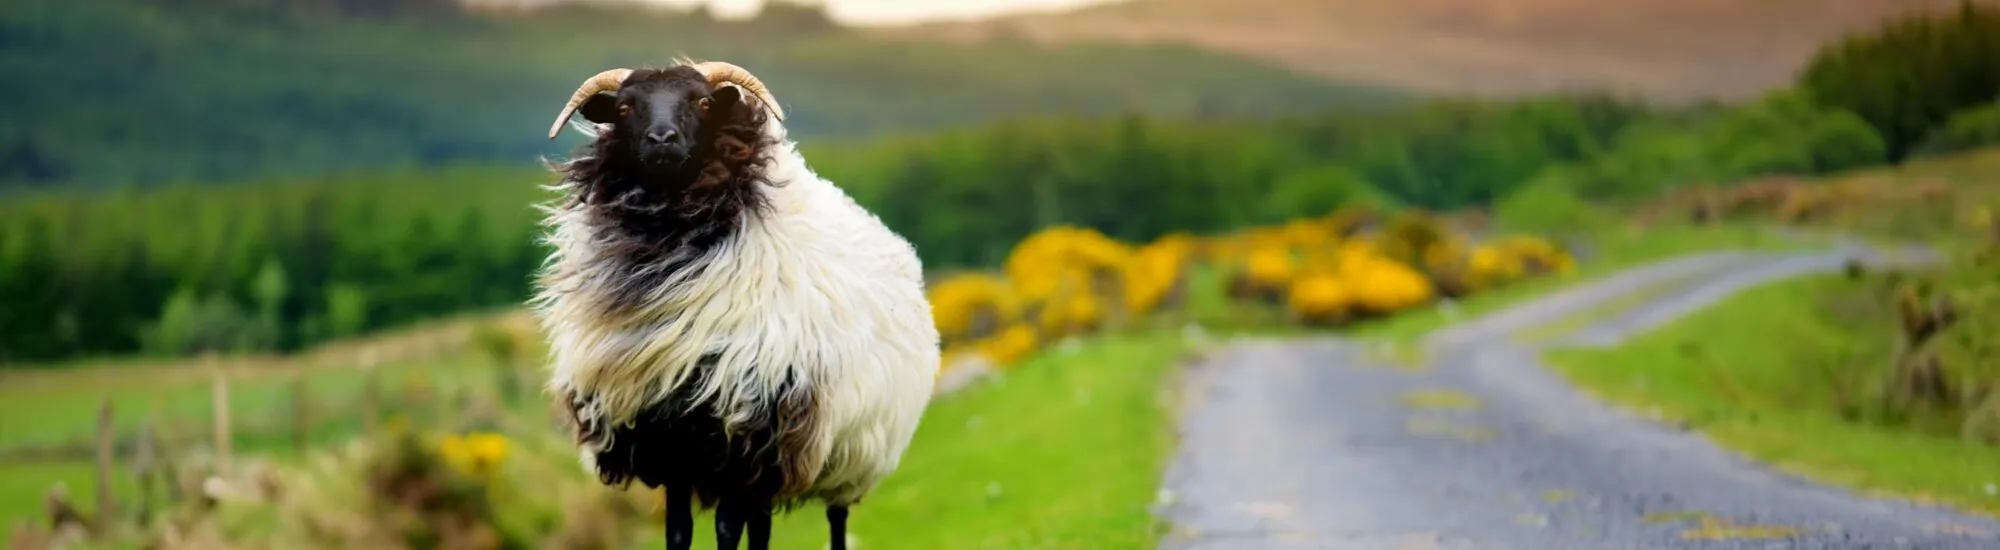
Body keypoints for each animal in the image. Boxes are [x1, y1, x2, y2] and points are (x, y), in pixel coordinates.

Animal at [532, 59, 940, 550]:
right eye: (625, 107)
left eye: (705, 103)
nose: (662, 139)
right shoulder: (670, 440)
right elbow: (679, 531)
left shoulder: (742, 436)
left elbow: (727, 530)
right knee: (761, 526)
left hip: (848, 453)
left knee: (834, 519)